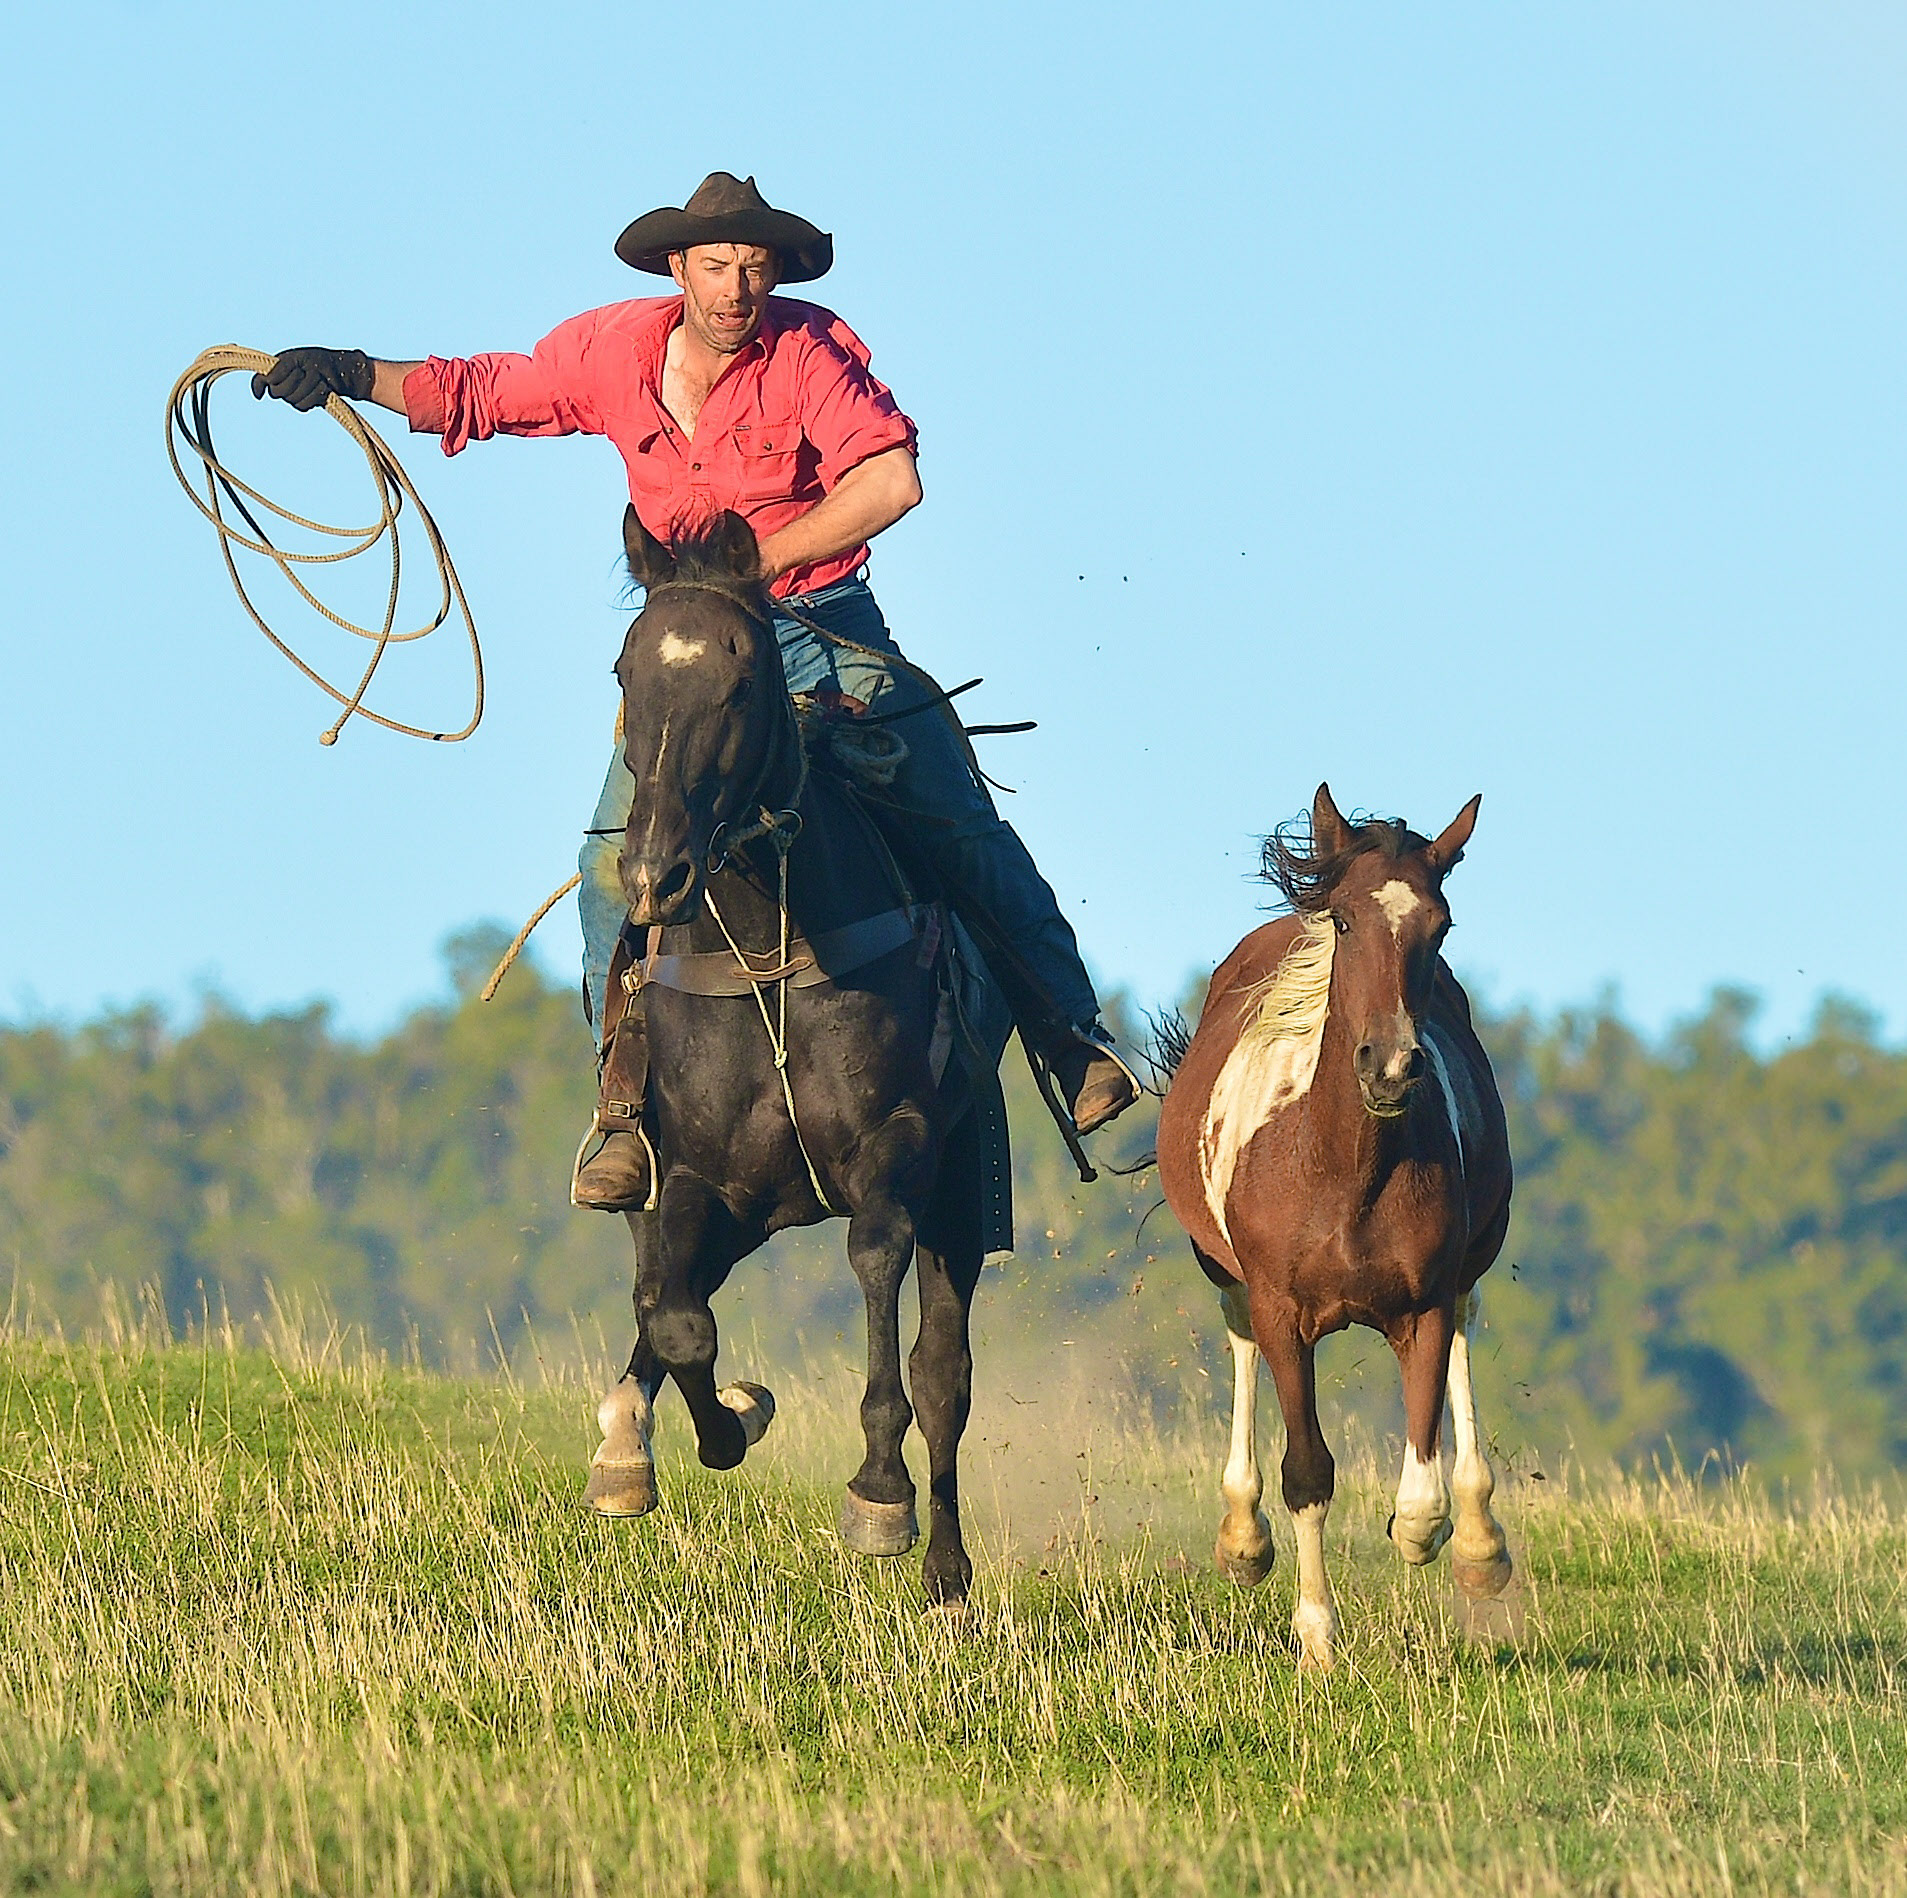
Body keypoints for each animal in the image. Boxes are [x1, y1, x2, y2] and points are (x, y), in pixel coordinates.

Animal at [579, 499, 999, 1602]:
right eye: (625, 673)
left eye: (739, 679)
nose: (654, 875)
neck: (765, 948)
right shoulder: (695, 1177)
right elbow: (674, 1316)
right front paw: (728, 1420)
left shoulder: (895, 1152)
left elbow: (878, 1279)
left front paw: (878, 1495)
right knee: (658, 1298)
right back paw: (625, 1445)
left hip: (961, 1190)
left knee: (946, 1374)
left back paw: (945, 1569)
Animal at [1151, 778, 1510, 1671]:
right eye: (1344, 921)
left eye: (1440, 925)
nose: (1390, 1066)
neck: (1342, 1170)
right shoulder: (1283, 1311)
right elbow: (1307, 1472)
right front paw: (1315, 1633)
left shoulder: (1422, 1304)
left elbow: (1419, 1488)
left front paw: (1437, 1540)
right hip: (1226, 1276)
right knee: (1239, 1339)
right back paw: (1241, 1541)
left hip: (1469, 1265)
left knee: (1467, 1328)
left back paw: (1480, 1547)